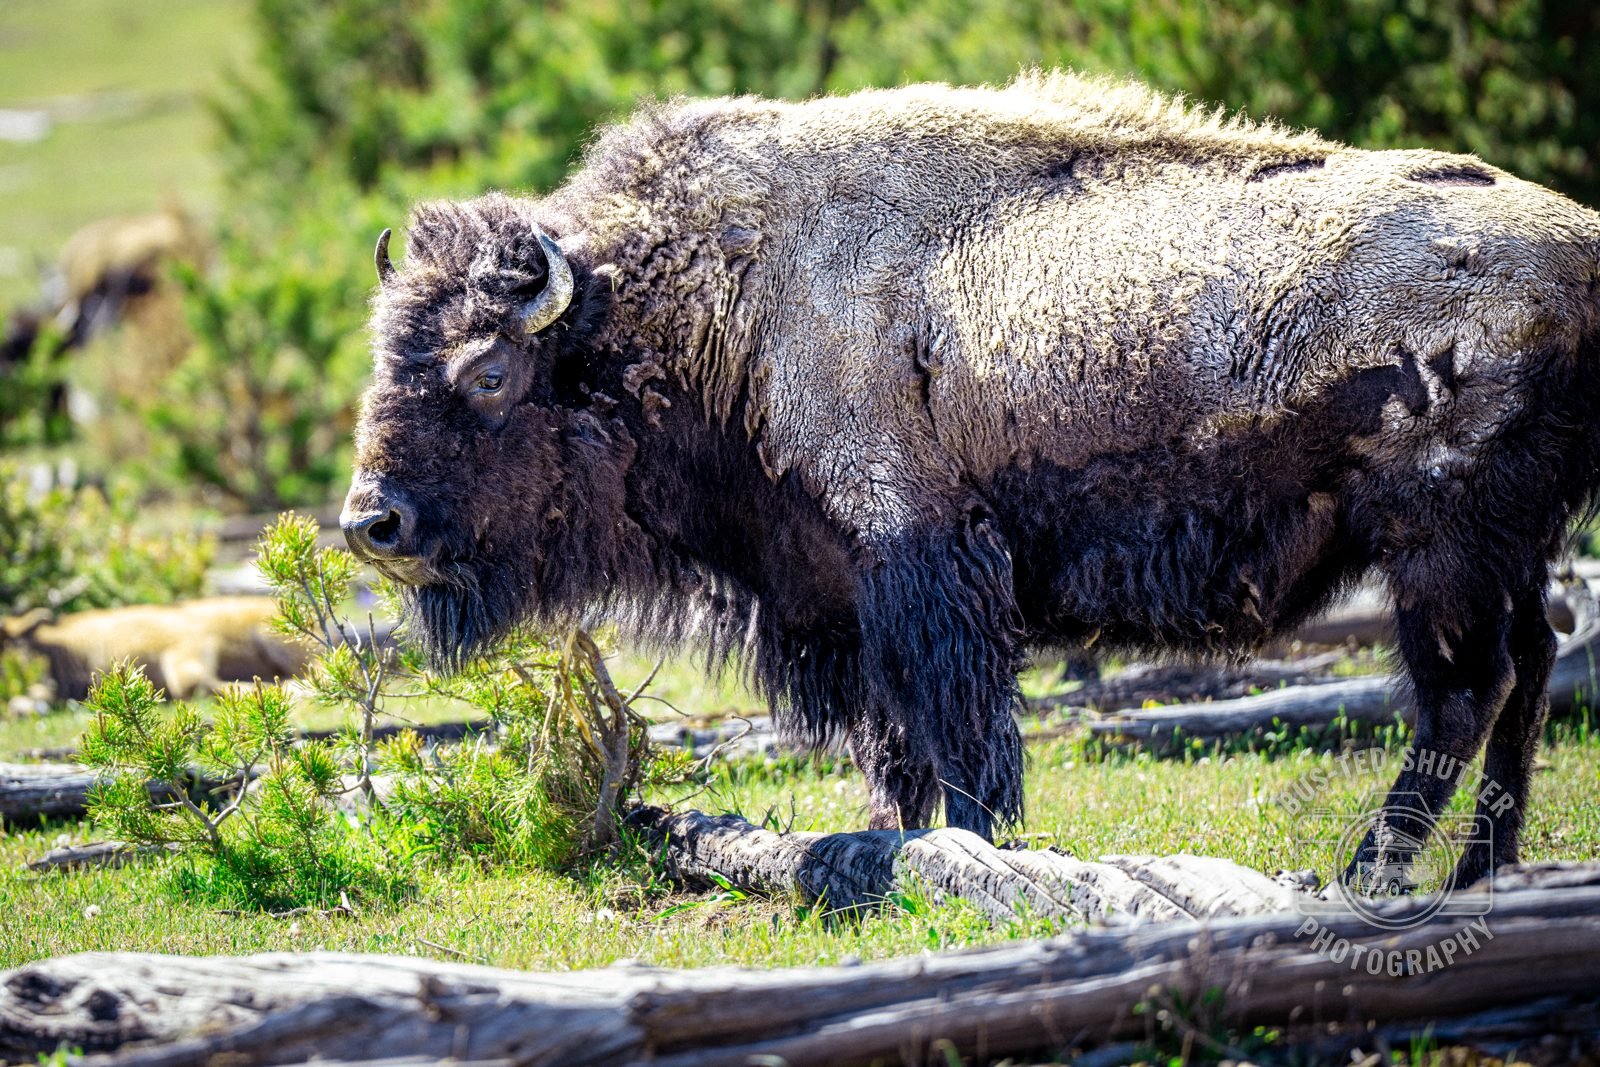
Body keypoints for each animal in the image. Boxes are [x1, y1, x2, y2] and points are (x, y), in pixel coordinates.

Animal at [343, 73, 1600, 890]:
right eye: (382, 351)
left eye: (489, 369)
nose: (372, 521)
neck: (706, 306)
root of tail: (1581, 250)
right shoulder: (839, 597)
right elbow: (893, 740)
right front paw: (884, 841)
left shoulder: (922, 561)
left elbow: (959, 728)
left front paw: (975, 848)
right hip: (1508, 550)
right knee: (1533, 665)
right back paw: (1484, 867)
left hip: (1436, 549)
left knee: (1463, 689)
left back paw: (1369, 876)